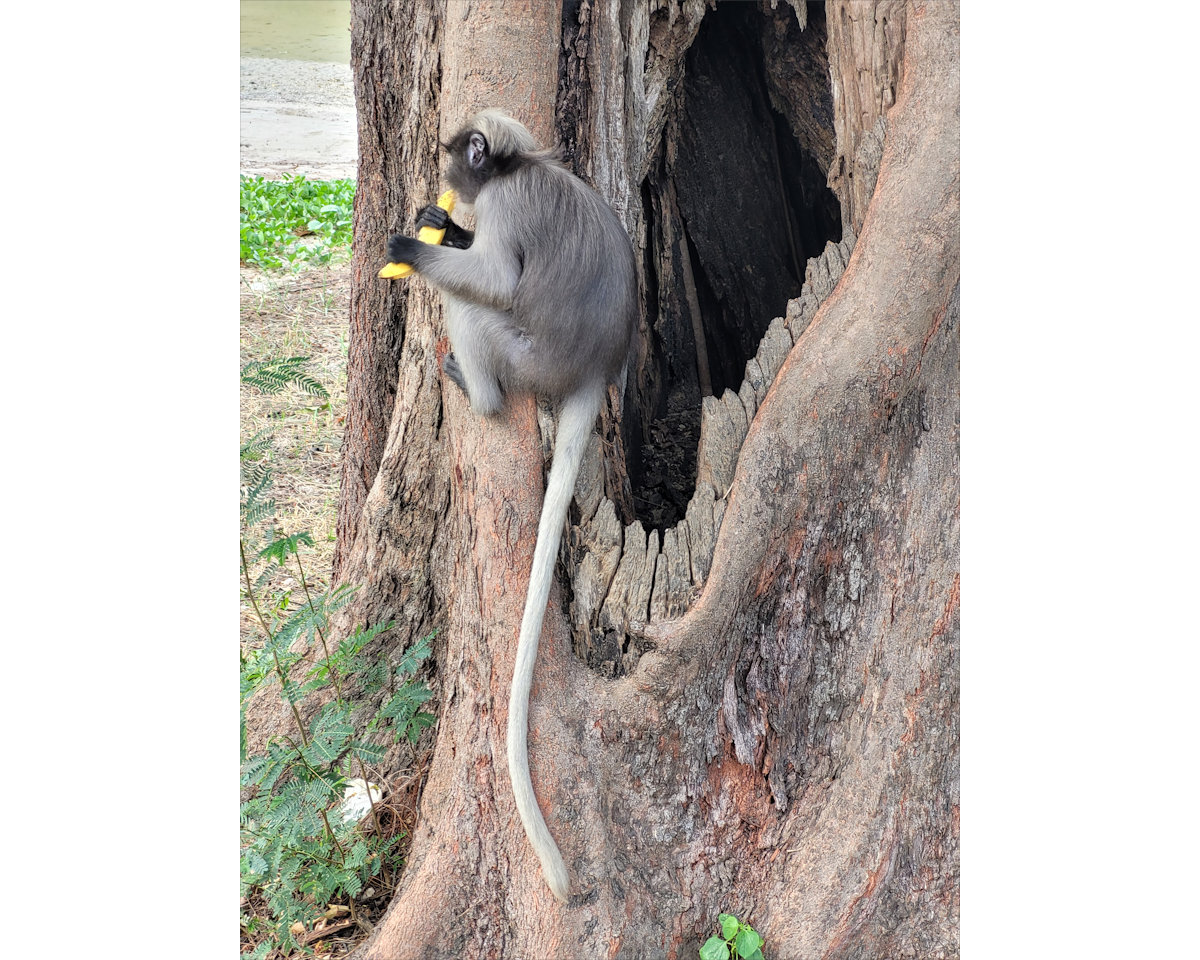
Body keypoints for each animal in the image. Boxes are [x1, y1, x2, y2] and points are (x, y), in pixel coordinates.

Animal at [386, 109, 638, 902]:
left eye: (457, 154)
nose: (446, 174)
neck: (519, 166)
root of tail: (590, 369)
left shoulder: (504, 205)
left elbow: (495, 278)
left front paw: (417, 247)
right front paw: (442, 226)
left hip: (524, 353)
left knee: (472, 306)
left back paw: (479, 390)